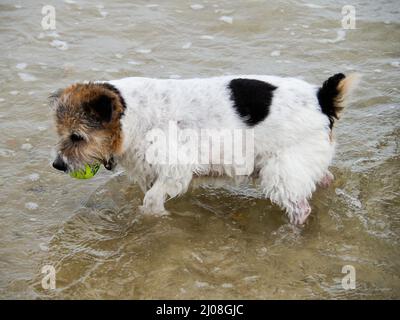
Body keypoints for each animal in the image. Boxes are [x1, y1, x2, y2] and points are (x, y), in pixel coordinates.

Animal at [50, 73, 360, 224]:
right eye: (62, 133)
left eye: (77, 137)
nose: (57, 165)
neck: (131, 114)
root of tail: (321, 97)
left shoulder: (175, 169)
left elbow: (151, 201)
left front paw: (156, 218)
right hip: (301, 163)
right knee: (324, 179)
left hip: (282, 172)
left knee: (301, 208)